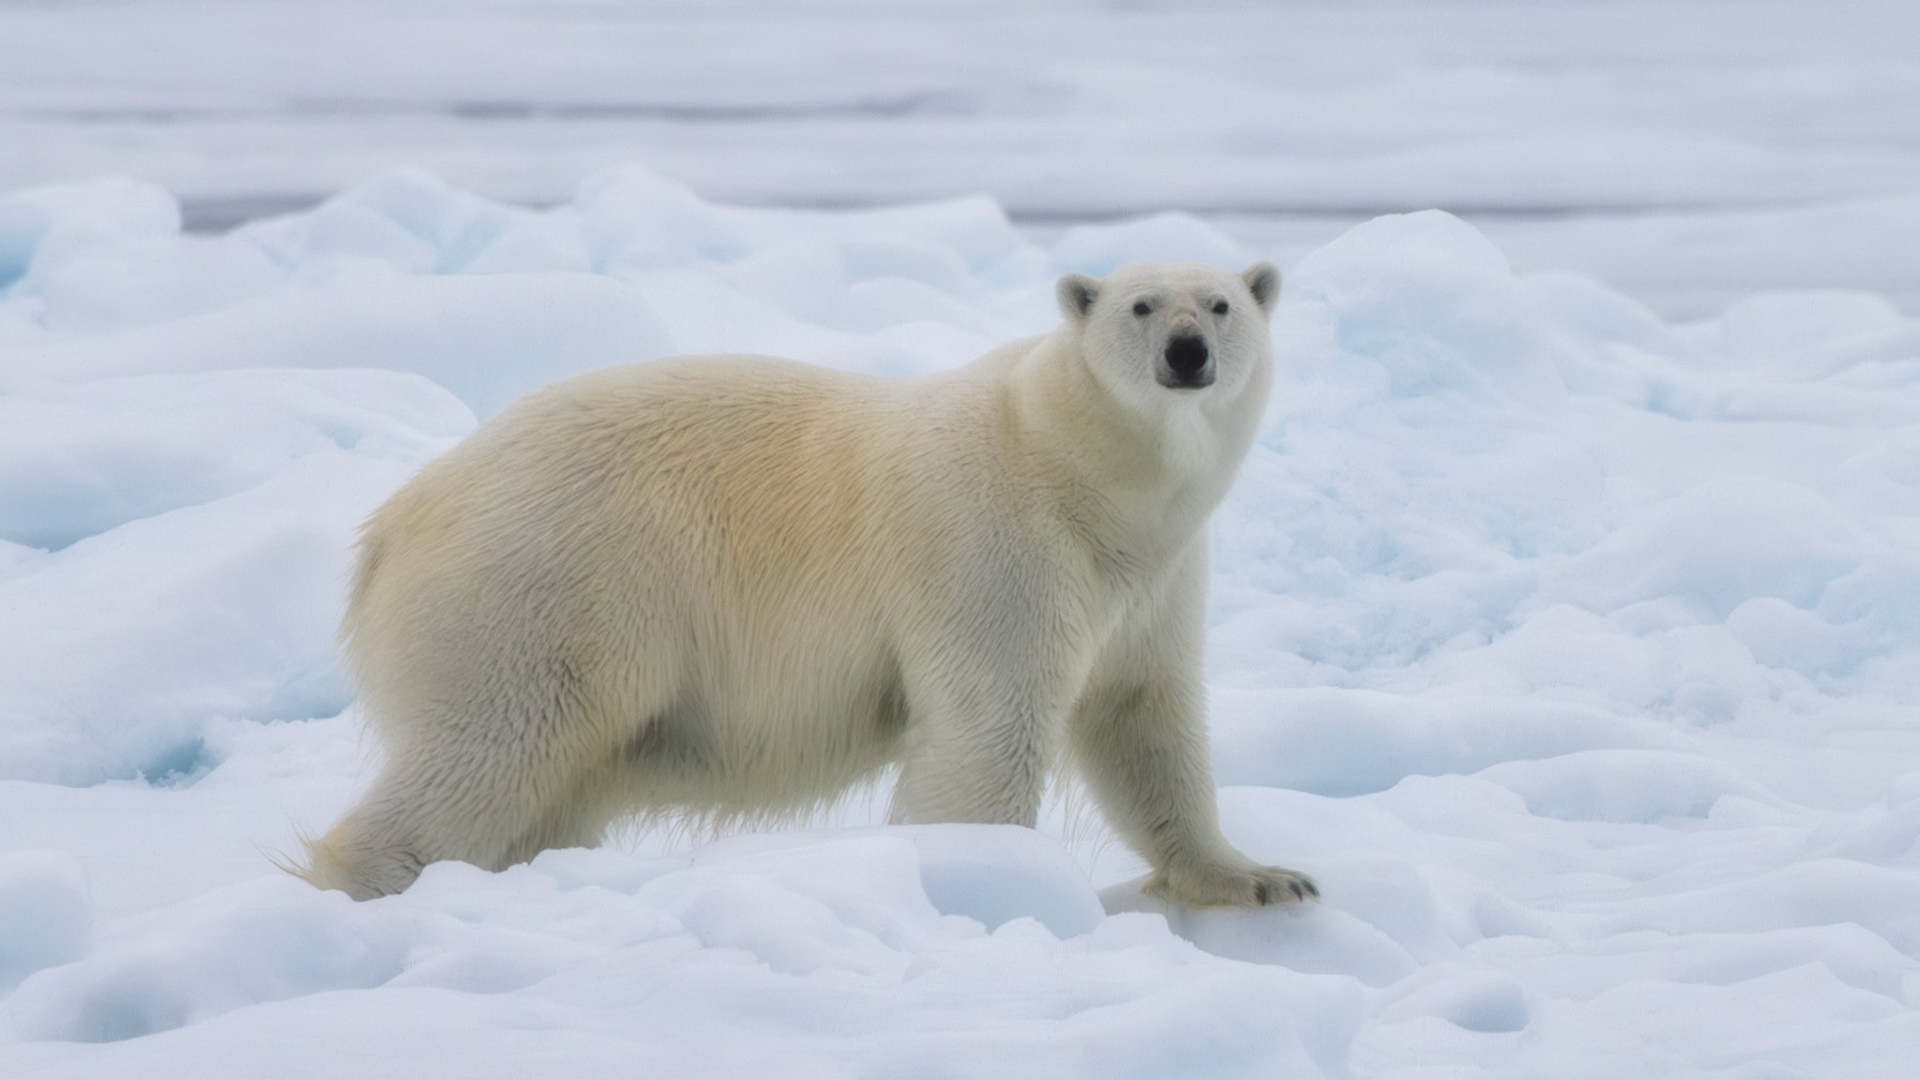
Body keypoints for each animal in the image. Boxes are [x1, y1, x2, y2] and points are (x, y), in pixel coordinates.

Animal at [300, 260, 1317, 909]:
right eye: (1142, 306)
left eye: (1221, 304)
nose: (1186, 351)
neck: (1079, 472)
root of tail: (391, 526)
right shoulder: (998, 543)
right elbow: (991, 727)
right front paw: (979, 875)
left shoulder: (1151, 578)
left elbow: (1142, 718)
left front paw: (1264, 876)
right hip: (540, 590)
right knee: (493, 745)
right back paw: (370, 882)